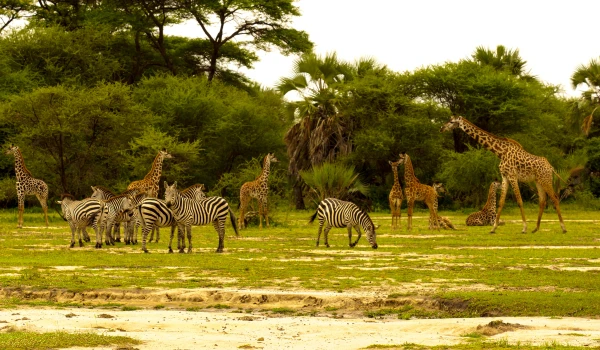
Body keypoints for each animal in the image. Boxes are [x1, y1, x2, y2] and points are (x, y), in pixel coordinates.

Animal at [440, 116, 568, 234]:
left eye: (451, 121)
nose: (441, 128)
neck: (500, 152)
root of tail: (551, 167)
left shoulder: (512, 175)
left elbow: (519, 201)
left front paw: (524, 228)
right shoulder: (505, 176)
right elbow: (501, 202)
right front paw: (493, 228)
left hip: (546, 180)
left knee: (555, 198)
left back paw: (563, 228)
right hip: (538, 181)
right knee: (542, 201)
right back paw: (536, 229)